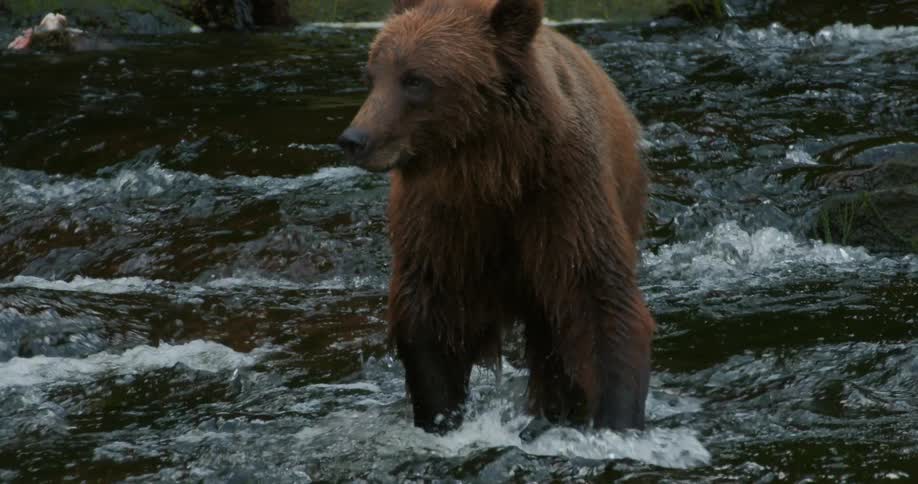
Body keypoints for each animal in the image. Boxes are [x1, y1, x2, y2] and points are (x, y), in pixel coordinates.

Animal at [337, 0, 654, 435]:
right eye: (372, 75)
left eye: (415, 80)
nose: (355, 139)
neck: (493, 171)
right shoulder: (441, 218)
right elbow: (429, 310)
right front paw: (441, 415)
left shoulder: (563, 195)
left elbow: (597, 294)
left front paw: (616, 418)